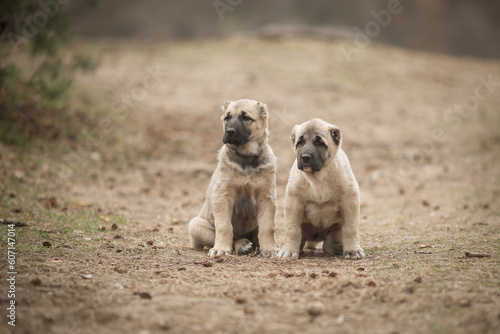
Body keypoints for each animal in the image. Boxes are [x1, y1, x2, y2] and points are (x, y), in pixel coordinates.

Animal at [188, 99, 280, 258]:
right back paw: (241, 244)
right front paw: (221, 248)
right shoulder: (223, 196)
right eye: (227, 118)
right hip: (196, 225)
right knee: (229, 237)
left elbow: (268, 227)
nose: (230, 131)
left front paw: (270, 249)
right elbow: (224, 227)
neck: (247, 158)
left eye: (246, 118)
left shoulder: (267, 198)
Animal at [276, 118, 366, 260]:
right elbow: (292, 230)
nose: (305, 157)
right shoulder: (294, 203)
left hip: (335, 231)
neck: (317, 178)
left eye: (320, 143)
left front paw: (353, 250)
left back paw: (340, 248)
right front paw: (289, 250)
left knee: (329, 245)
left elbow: (350, 229)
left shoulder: (349, 201)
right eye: (300, 142)